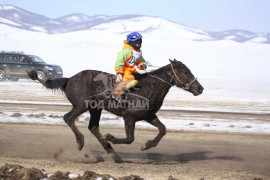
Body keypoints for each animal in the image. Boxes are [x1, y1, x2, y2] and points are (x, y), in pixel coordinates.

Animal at [28, 58, 204, 161]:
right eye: (185, 71)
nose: (200, 88)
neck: (148, 87)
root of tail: (69, 79)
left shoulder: (148, 115)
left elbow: (163, 129)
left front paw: (146, 145)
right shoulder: (129, 117)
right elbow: (130, 138)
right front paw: (111, 137)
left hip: (96, 109)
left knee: (93, 127)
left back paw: (112, 152)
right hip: (82, 105)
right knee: (68, 118)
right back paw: (81, 142)